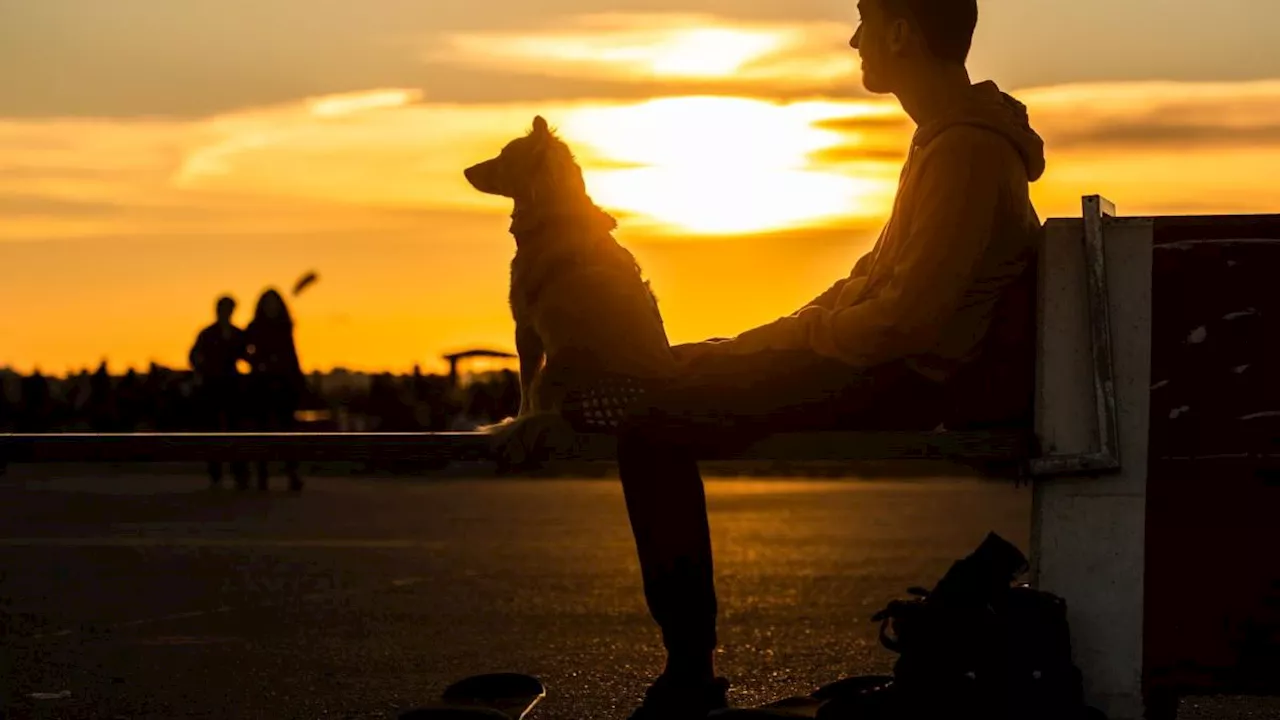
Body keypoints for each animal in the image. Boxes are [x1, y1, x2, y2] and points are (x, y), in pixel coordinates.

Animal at [463, 114, 680, 458]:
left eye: (504, 156)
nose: (466, 171)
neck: (554, 215)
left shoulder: (525, 326)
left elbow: (524, 385)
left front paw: (517, 418)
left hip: (555, 369)